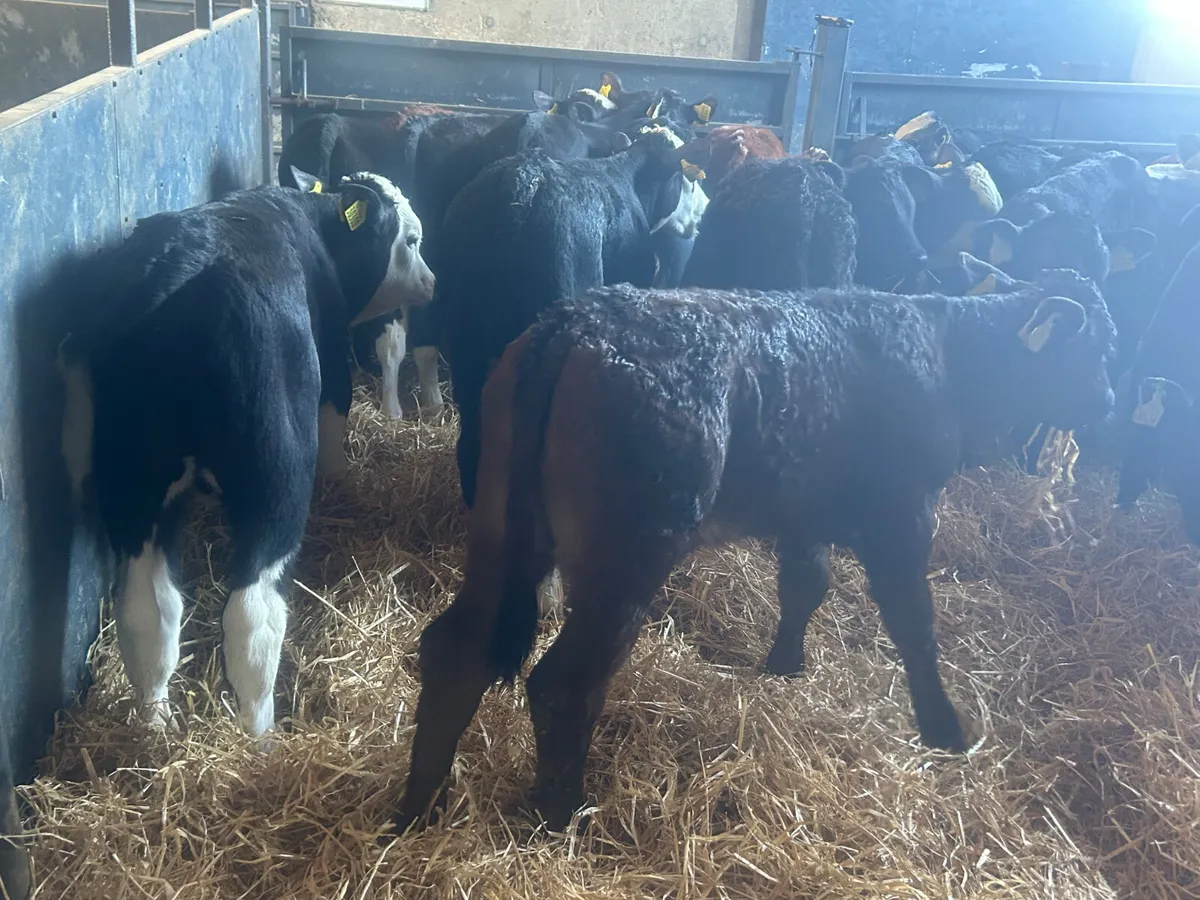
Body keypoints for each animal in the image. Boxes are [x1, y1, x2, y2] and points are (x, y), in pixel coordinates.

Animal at [56, 170, 434, 738]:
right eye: (411, 240)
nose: (432, 281)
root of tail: (178, 274)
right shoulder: (332, 362)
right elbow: (336, 418)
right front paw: (342, 481)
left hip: (133, 479)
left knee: (147, 608)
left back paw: (154, 723)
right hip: (275, 473)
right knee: (251, 615)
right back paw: (259, 739)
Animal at [395, 271, 1117, 833]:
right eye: (1097, 348)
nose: (1111, 401)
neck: (945, 357)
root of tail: (577, 319)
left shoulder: (805, 511)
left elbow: (805, 584)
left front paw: (784, 666)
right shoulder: (904, 512)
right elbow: (914, 623)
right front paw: (944, 729)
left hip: (502, 532)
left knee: (456, 651)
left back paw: (417, 809)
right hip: (630, 554)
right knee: (563, 685)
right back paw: (563, 814)